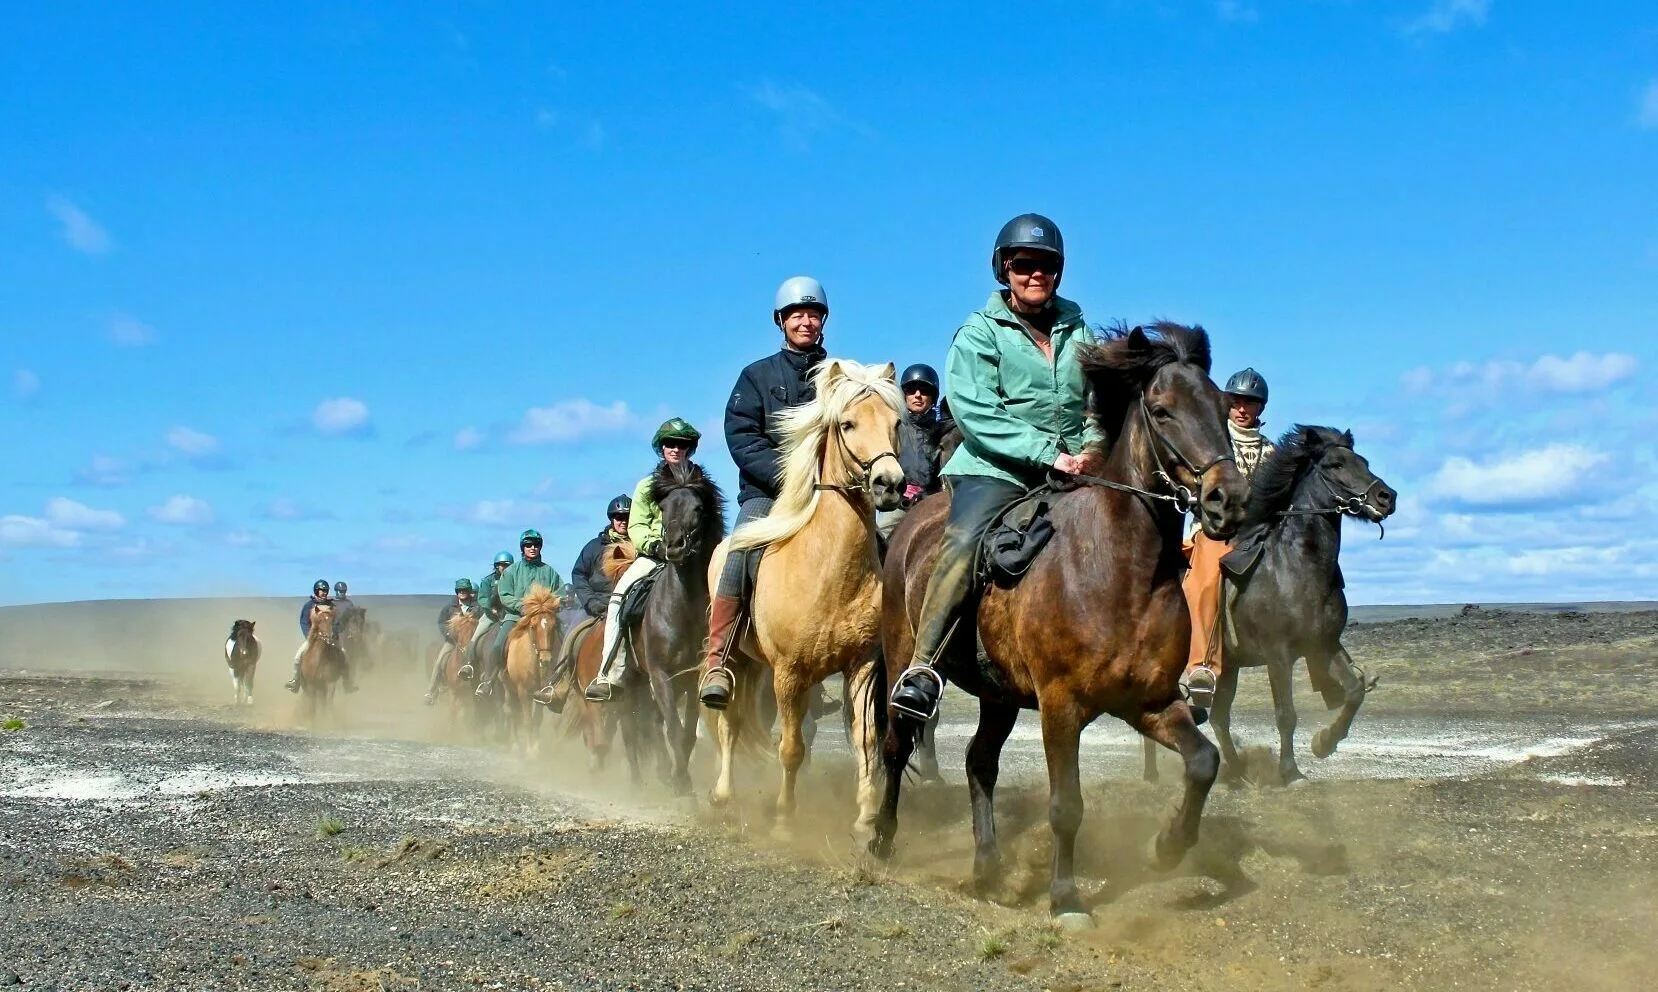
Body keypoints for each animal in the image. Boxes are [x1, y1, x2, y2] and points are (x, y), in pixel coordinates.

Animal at [497, 590, 563, 753]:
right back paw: (515, 745)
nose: (545, 659)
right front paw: (529, 751)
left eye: (553, 626)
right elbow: (527, 720)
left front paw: (536, 748)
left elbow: (537, 720)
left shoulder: (541, 692)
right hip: (509, 689)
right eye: (533, 626)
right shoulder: (523, 690)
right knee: (511, 712)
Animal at [623, 461, 726, 796]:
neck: (683, 611)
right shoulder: (661, 675)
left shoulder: (692, 678)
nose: (674, 547)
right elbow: (673, 728)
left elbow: (687, 732)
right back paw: (636, 780)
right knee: (633, 730)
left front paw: (679, 776)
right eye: (664, 507)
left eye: (698, 508)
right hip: (632, 682)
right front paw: (681, 783)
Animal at [875, 325, 1246, 922]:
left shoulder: (1148, 703)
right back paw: (881, 839)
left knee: (979, 762)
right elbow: (1066, 804)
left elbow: (1204, 762)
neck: (1121, 571)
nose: (1228, 501)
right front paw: (1067, 898)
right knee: (895, 745)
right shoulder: (1060, 706)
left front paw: (1166, 848)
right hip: (900, 662)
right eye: (1162, 410)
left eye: (1220, 407)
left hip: (998, 695)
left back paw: (988, 866)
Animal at [1140, 423, 1399, 789]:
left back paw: (1236, 774)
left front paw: (1324, 742)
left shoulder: (1323, 645)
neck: (1294, 567)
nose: (1386, 497)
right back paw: (1152, 775)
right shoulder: (1278, 654)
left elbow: (1354, 691)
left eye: (1363, 461)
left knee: (1219, 718)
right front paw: (1291, 772)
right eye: (1335, 464)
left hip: (1228, 667)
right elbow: (1286, 714)